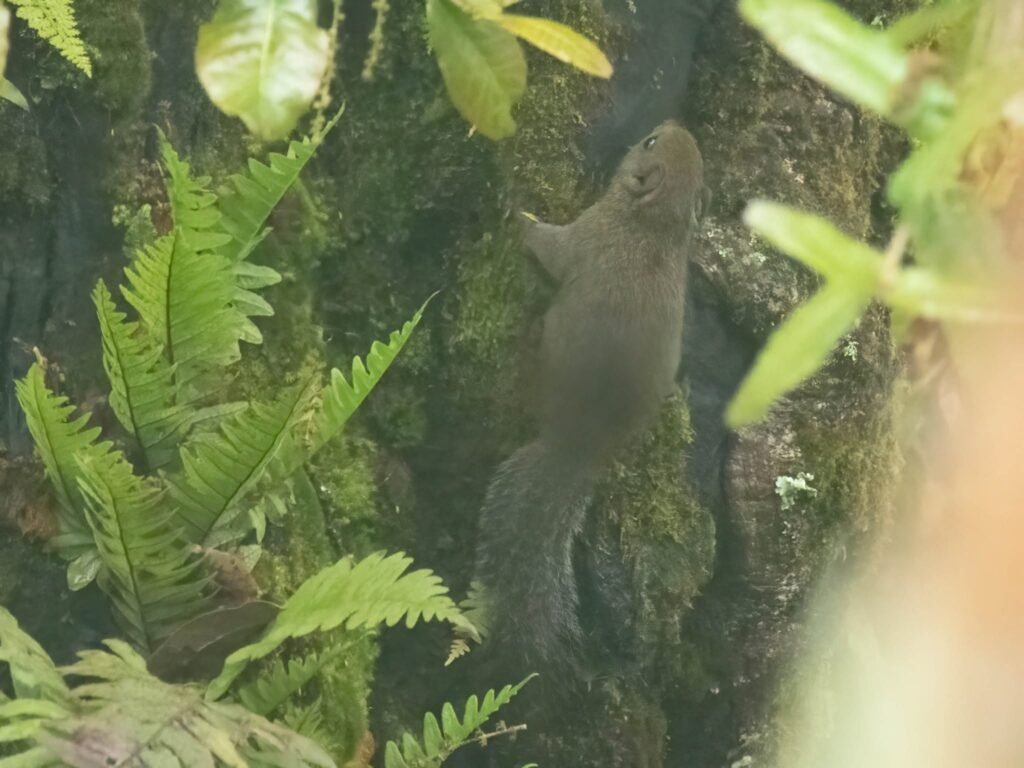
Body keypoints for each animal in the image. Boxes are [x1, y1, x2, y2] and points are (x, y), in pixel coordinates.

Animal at [473, 122, 705, 679]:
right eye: (662, 140)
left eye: (647, 144)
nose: (671, 125)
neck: (655, 226)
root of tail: (579, 449)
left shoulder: (582, 238)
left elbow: (549, 247)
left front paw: (519, 212)